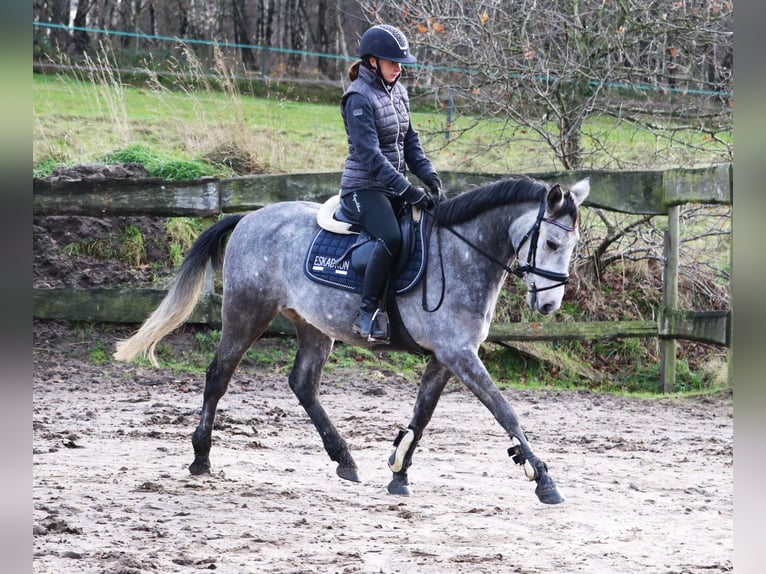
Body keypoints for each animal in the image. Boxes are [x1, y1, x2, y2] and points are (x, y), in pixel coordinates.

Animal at [115, 174, 592, 504]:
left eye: (571, 246)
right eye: (552, 243)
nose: (549, 306)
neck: (462, 255)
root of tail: (250, 215)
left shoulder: (446, 356)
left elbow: (422, 416)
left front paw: (399, 473)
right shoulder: (459, 354)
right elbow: (504, 411)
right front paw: (543, 479)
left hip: (313, 324)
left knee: (303, 384)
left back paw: (344, 459)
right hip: (246, 312)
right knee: (219, 375)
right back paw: (201, 457)